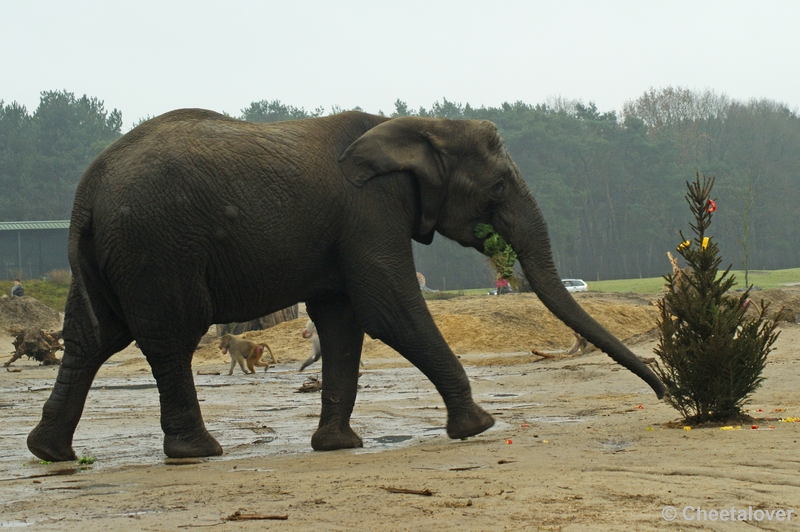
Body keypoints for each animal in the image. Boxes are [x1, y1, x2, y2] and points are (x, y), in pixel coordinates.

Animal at [25, 109, 664, 462]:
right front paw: (479, 426)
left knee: (93, 337)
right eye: (500, 185)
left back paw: (49, 451)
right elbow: (388, 308)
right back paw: (197, 453)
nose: (662, 394)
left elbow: (341, 320)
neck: (416, 125)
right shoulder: (369, 210)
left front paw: (337, 446)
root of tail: (86, 192)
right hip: (158, 246)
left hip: (115, 252)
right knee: (169, 336)